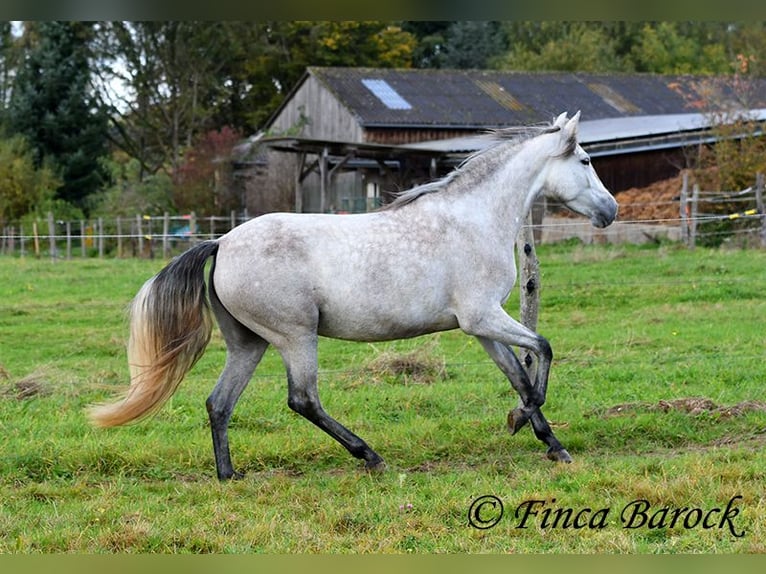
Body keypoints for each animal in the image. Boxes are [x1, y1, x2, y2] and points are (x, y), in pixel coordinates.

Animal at [88, 112, 616, 482]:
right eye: (586, 161)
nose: (610, 210)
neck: (473, 217)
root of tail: (221, 242)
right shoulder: (483, 317)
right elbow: (543, 352)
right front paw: (522, 425)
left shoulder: (483, 326)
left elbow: (519, 378)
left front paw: (548, 442)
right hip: (296, 336)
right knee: (303, 400)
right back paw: (371, 457)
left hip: (248, 343)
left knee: (219, 403)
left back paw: (228, 476)